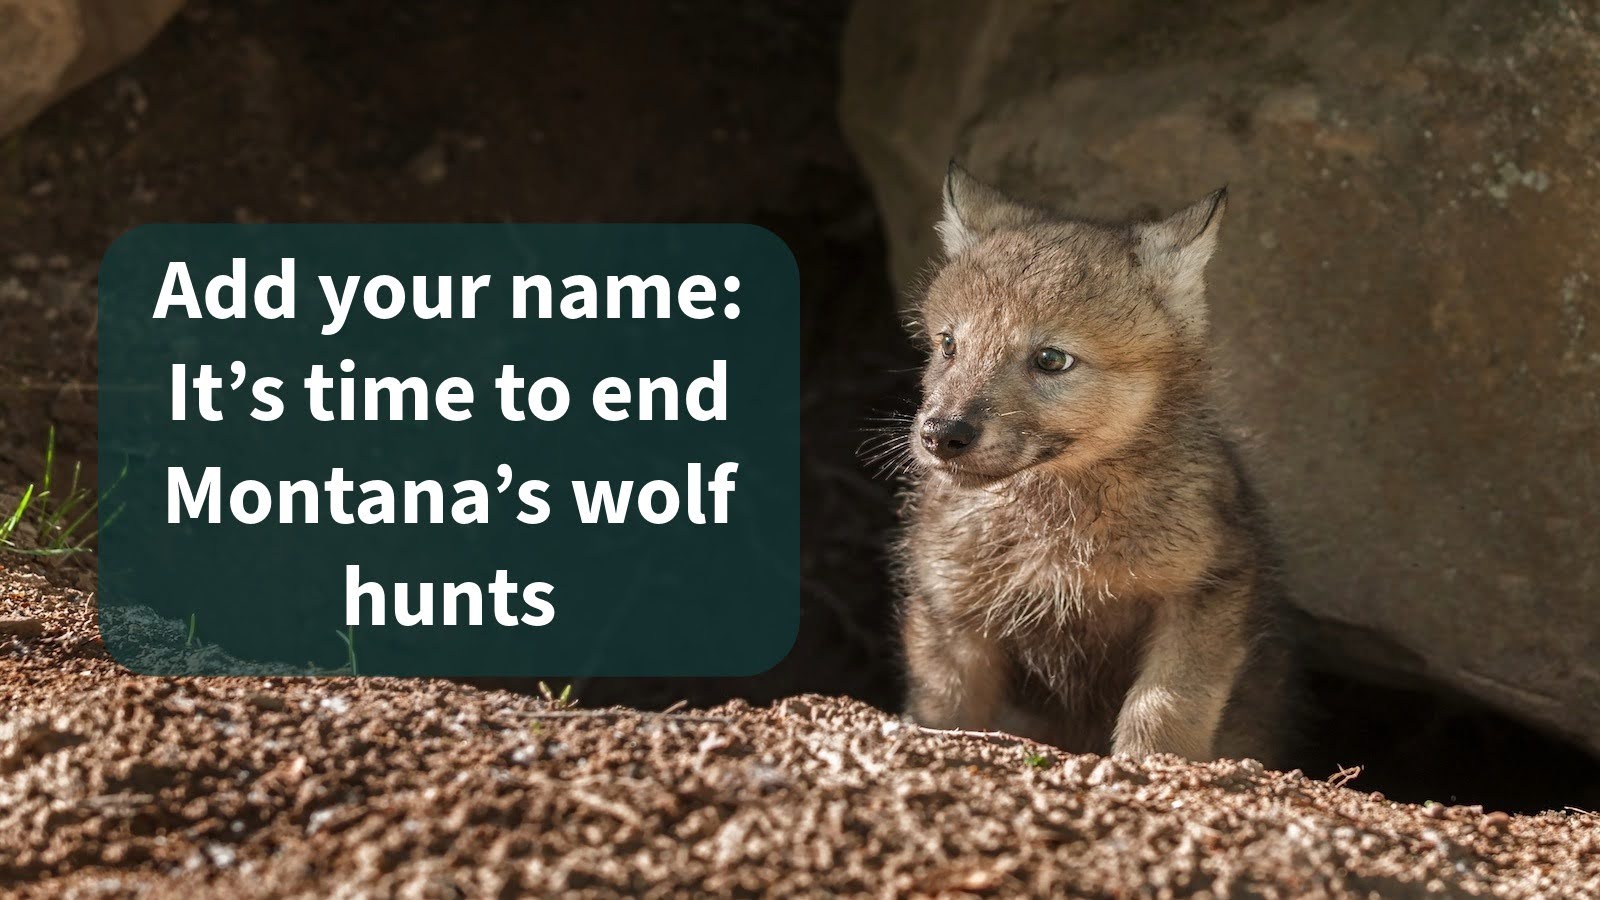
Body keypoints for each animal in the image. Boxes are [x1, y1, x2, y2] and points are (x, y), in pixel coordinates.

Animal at [894, 164, 1290, 762]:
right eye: (948, 345)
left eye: (1051, 359)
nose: (942, 434)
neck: (1056, 528)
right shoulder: (951, 610)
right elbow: (943, 716)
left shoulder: (1207, 589)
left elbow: (1166, 706)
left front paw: (1148, 762)